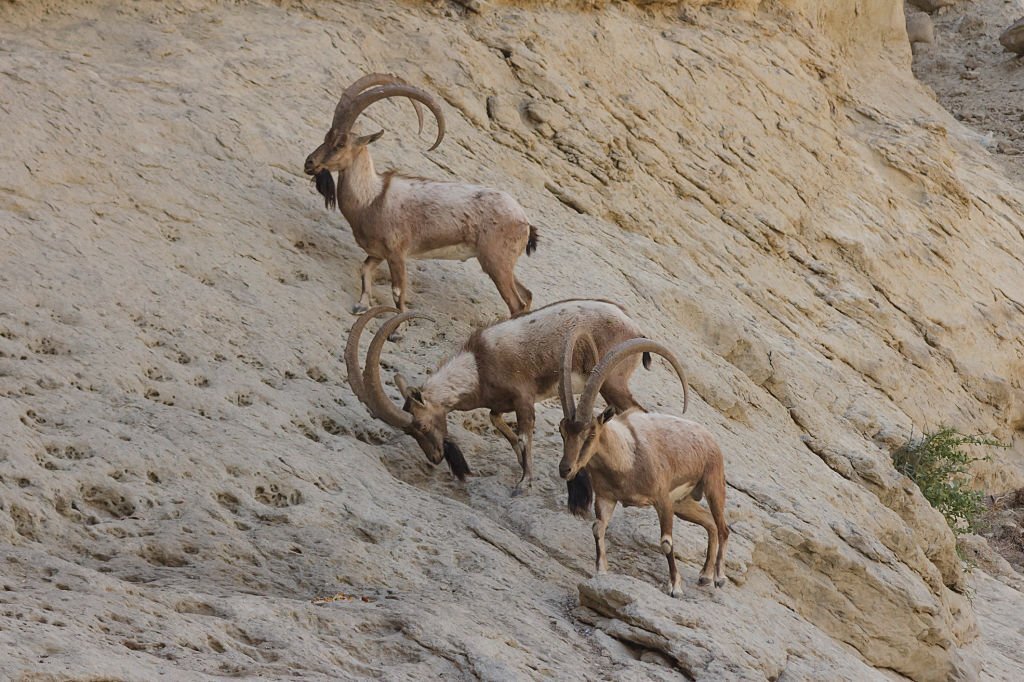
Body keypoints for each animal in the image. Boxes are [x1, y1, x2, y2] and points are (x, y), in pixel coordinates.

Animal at [304, 73, 537, 316]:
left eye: (340, 144)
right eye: (326, 136)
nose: (309, 163)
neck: (371, 198)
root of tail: (525, 221)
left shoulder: (397, 254)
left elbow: (398, 293)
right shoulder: (377, 253)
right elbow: (365, 270)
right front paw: (361, 305)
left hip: (495, 262)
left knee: (517, 303)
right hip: (502, 263)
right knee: (527, 295)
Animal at [345, 300, 652, 495]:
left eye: (420, 425)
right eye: (409, 431)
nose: (435, 456)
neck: (479, 365)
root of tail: (635, 328)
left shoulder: (524, 397)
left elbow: (525, 432)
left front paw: (523, 483)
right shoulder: (500, 404)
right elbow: (499, 424)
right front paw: (520, 464)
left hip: (612, 382)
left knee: (638, 411)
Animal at [558, 338, 729, 595]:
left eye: (591, 434)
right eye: (562, 431)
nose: (565, 469)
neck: (626, 460)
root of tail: (708, 436)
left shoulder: (662, 500)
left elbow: (666, 543)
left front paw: (675, 587)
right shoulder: (606, 498)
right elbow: (598, 528)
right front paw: (601, 571)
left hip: (712, 484)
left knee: (722, 526)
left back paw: (719, 577)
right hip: (683, 502)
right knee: (709, 522)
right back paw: (705, 576)